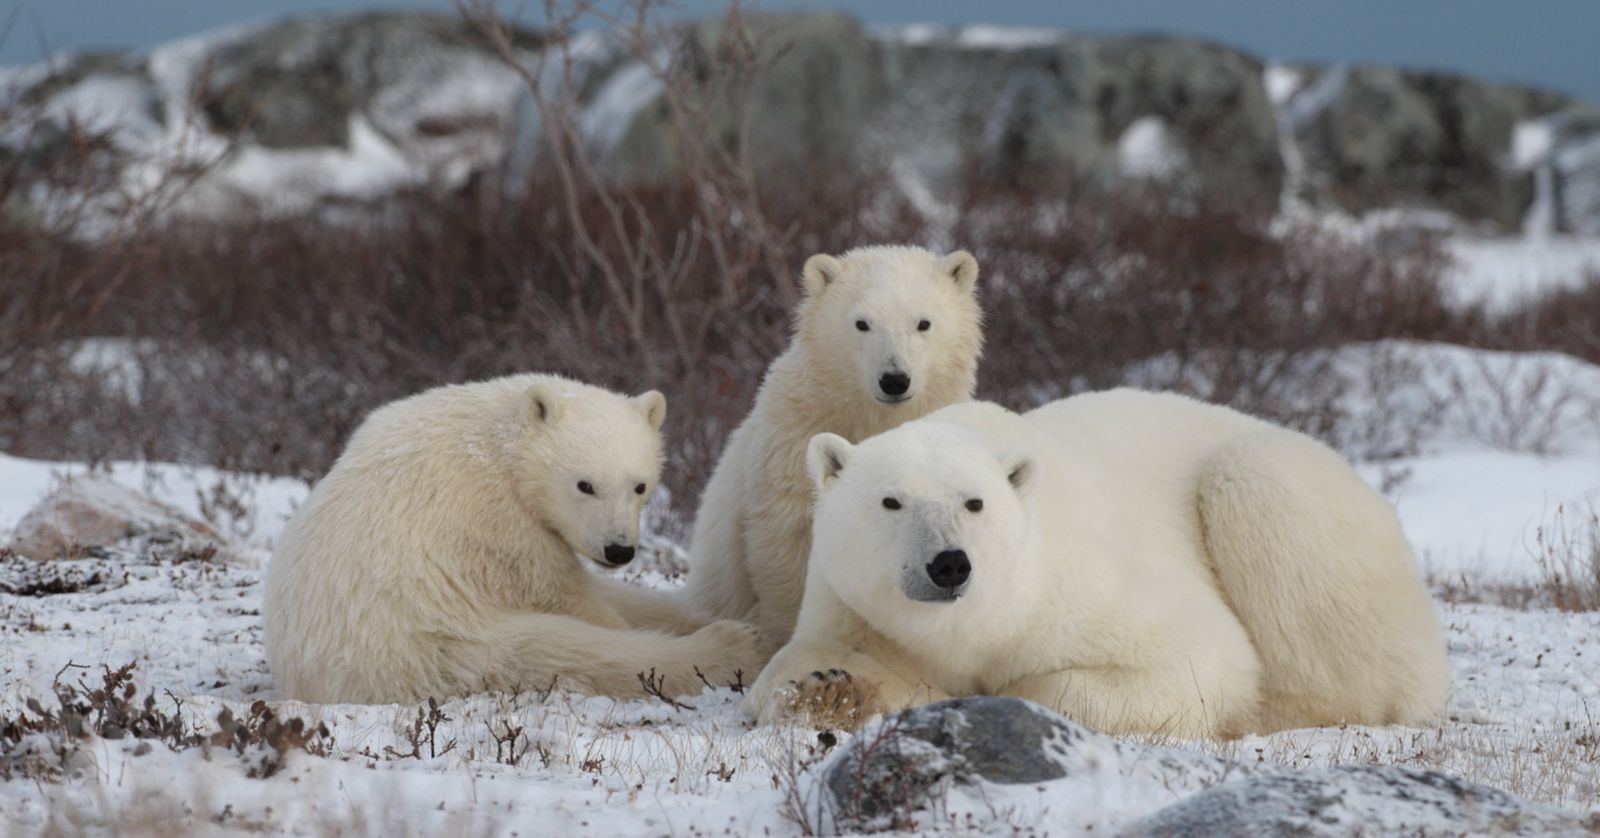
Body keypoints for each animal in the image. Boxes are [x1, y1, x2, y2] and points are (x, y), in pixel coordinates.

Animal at [263, 374, 762, 705]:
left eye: (640, 485)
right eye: (585, 484)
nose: (618, 549)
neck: (502, 449)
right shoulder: (498, 523)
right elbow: (557, 590)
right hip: (432, 643)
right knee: (563, 652)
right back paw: (730, 645)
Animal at [685, 245, 985, 656]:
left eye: (923, 323)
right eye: (862, 323)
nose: (894, 380)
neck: (872, 418)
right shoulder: (795, 444)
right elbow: (792, 541)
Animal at [746, 390, 1450, 739]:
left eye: (974, 501)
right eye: (891, 501)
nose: (949, 565)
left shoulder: (1078, 586)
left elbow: (1200, 658)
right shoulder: (853, 606)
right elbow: (790, 670)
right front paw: (832, 691)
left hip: (1294, 501)